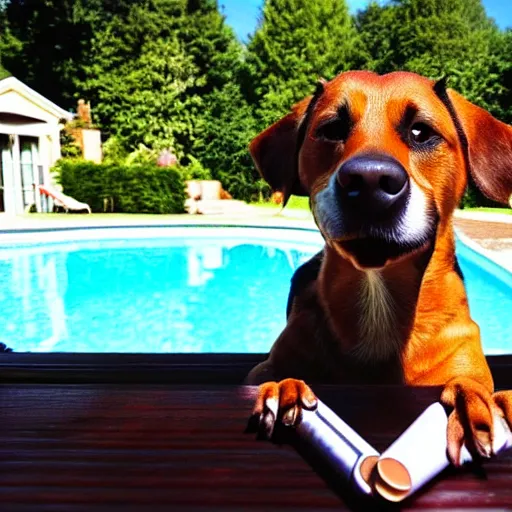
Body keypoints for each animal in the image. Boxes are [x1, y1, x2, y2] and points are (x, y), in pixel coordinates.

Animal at [247, 72, 512, 468]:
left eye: (421, 132)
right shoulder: (271, 363)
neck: (379, 303)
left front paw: (471, 405)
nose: (369, 181)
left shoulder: (466, 360)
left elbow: (471, 384)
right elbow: (276, 373)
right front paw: (286, 389)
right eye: (332, 129)